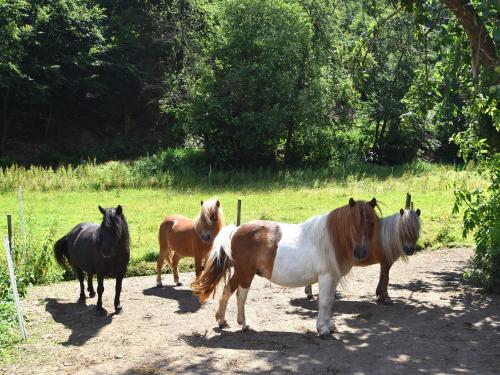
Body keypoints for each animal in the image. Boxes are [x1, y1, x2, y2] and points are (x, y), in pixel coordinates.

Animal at [191, 198, 378, 340]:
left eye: (371, 223)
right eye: (352, 225)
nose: (361, 252)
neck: (330, 240)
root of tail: (236, 230)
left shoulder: (333, 278)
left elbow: (330, 301)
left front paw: (330, 325)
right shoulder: (326, 277)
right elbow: (325, 302)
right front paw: (322, 329)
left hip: (241, 272)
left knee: (228, 290)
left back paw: (222, 320)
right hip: (246, 273)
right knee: (239, 295)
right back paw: (243, 324)